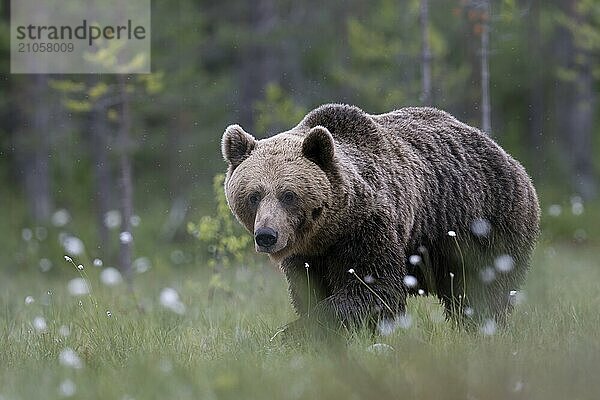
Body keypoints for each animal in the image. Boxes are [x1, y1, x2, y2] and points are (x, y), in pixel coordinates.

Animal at [220, 103, 540, 334]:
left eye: (288, 194)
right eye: (254, 195)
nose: (266, 236)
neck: (329, 231)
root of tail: (511, 159)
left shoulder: (368, 227)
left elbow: (374, 288)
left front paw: (295, 333)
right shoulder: (307, 255)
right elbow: (308, 292)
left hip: (487, 223)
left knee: (484, 288)